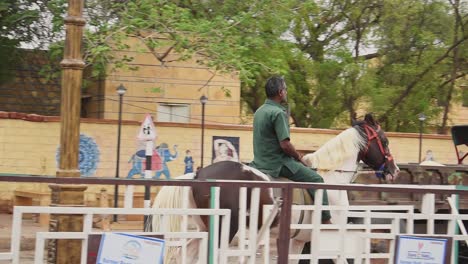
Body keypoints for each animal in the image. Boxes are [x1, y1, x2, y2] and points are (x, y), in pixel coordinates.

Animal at [152, 114, 400, 262]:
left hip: (201, 232)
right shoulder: (329, 237)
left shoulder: (298, 241)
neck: (332, 179)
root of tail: (199, 173)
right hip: (223, 231)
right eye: (385, 141)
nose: (394, 170)